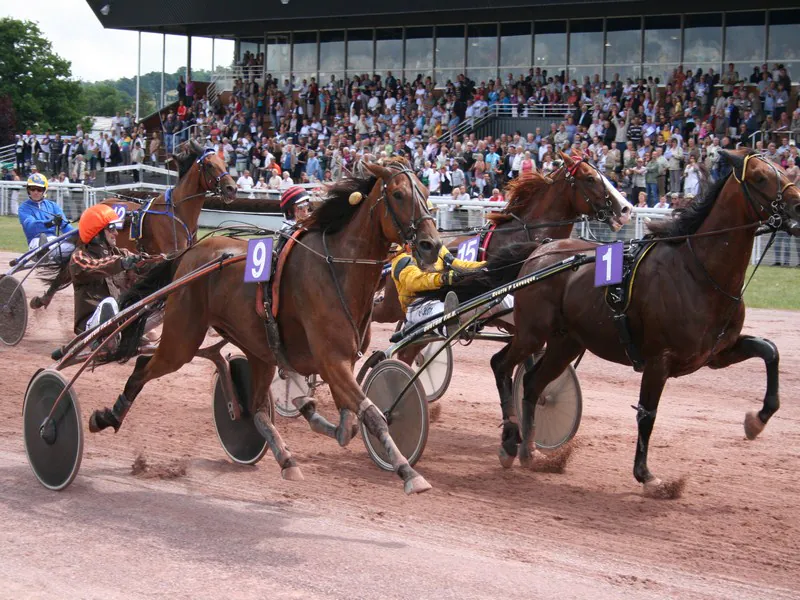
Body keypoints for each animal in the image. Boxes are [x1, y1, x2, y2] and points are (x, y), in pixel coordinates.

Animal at [34, 139, 234, 310]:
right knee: (68, 269)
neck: (178, 210)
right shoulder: (171, 251)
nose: (232, 188)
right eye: (210, 165)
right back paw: (43, 299)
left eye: (225, 164)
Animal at [92, 157, 444, 494]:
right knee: (142, 367)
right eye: (398, 194)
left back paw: (286, 458)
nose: (431, 246)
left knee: (256, 409)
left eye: (427, 194)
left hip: (258, 351)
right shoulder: (333, 360)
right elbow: (372, 415)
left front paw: (309, 408)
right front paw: (409, 472)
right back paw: (107, 416)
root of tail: (191, 253)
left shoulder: (339, 362)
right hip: (182, 340)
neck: (338, 269)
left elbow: (349, 425)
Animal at [488, 150, 800, 496]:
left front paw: (757, 419)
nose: (798, 205)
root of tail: (542, 248)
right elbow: (647, 415)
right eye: (759, 177)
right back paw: (509, 441)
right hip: (531, 333)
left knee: (531, 383)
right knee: (501, 365)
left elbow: (770, 350)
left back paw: (529, 451)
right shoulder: (659, 360)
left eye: (785, 170)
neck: (698, 271)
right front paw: (646, 475)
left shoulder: (716, 352)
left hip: (565, 342)